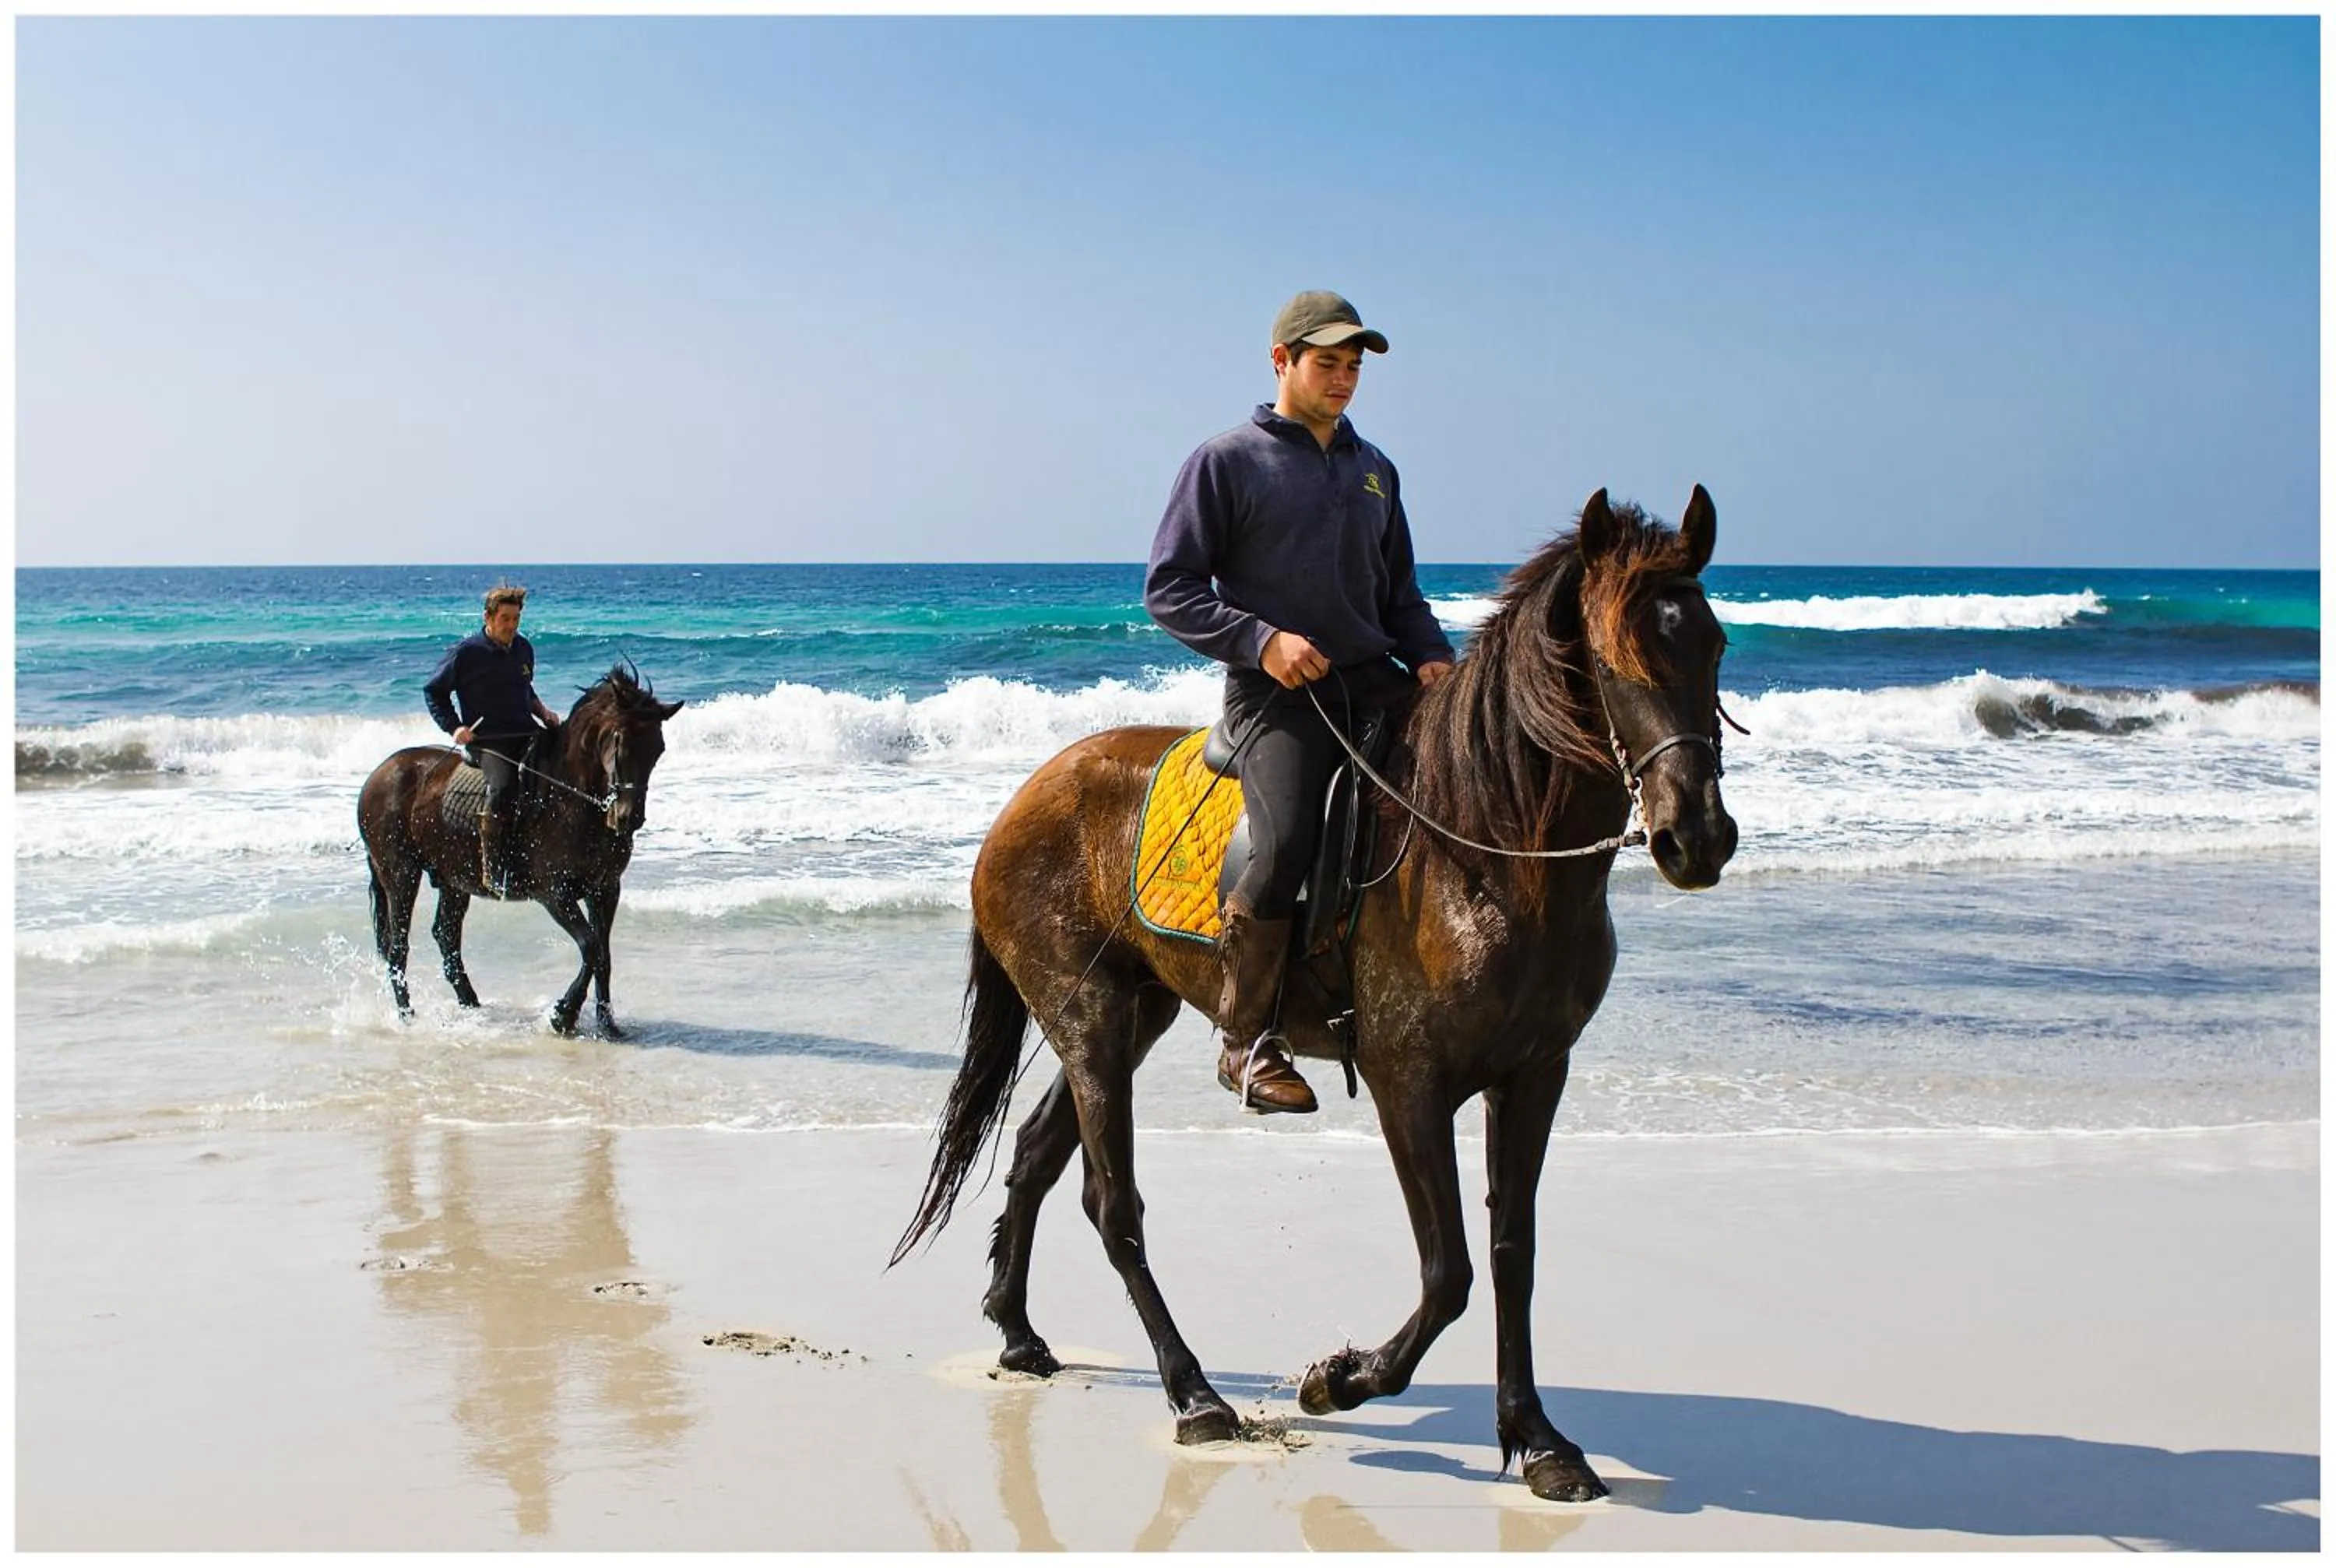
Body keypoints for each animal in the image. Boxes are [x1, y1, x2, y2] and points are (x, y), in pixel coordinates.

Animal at [358, 663, 683, 1037]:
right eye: (619, 741)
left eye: (657, 749)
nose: (628, 818)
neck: (570, 799)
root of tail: (377, 775)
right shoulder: (555, 894)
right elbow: (591, 949)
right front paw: (563, 1016)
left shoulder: (605, 889)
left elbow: (604, 956)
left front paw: (608, 1025)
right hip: (401, 875)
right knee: (398, 948)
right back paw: (408, 1017)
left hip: (454, 880)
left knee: (447, 938)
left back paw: (473, 1007)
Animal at [891, 487, 1737, 1502]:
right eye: (1615, 659)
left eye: (1714, 645)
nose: (1699, 837)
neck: (1484, 849)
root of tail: (1023, 797)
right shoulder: (1409, 1083)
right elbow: (1448, 1271)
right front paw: (1340, 1380)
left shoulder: (1535, 1074)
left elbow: (1511, 1255)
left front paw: (1538, 1441)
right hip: (1089, 1022)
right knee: (1113, 1204)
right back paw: (1195, 1394)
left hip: (1129, 1015)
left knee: (1034, 1157)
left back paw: (1019, 1334)